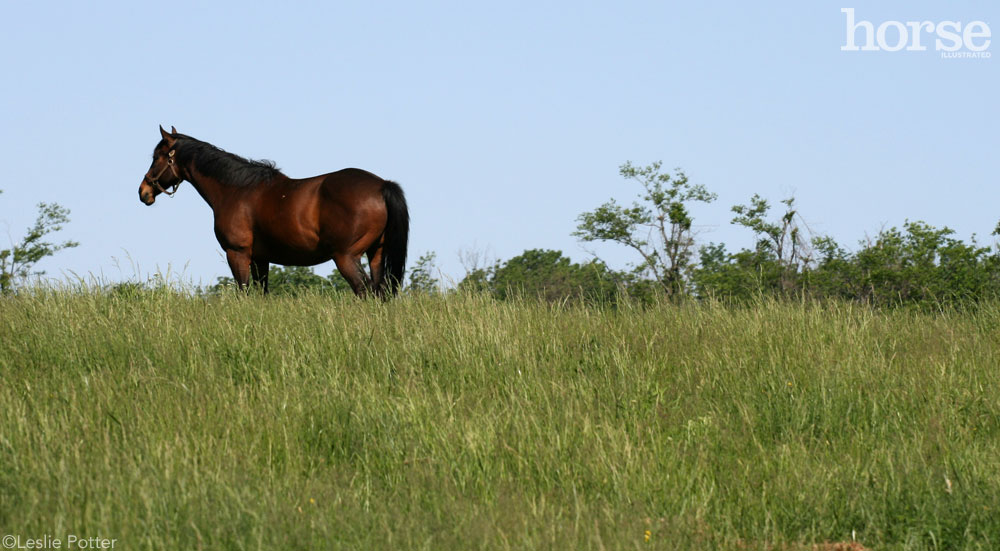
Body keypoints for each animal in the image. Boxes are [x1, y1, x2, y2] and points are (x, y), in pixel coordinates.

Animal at [139, 126, 408, 298]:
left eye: (157, 156)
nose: (143, 192)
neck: (236, 190)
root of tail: (382, 185)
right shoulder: (261, 259)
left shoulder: (237, 254)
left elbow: (244, 293)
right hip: (375, 254)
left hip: (346, 257)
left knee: (365, 292)